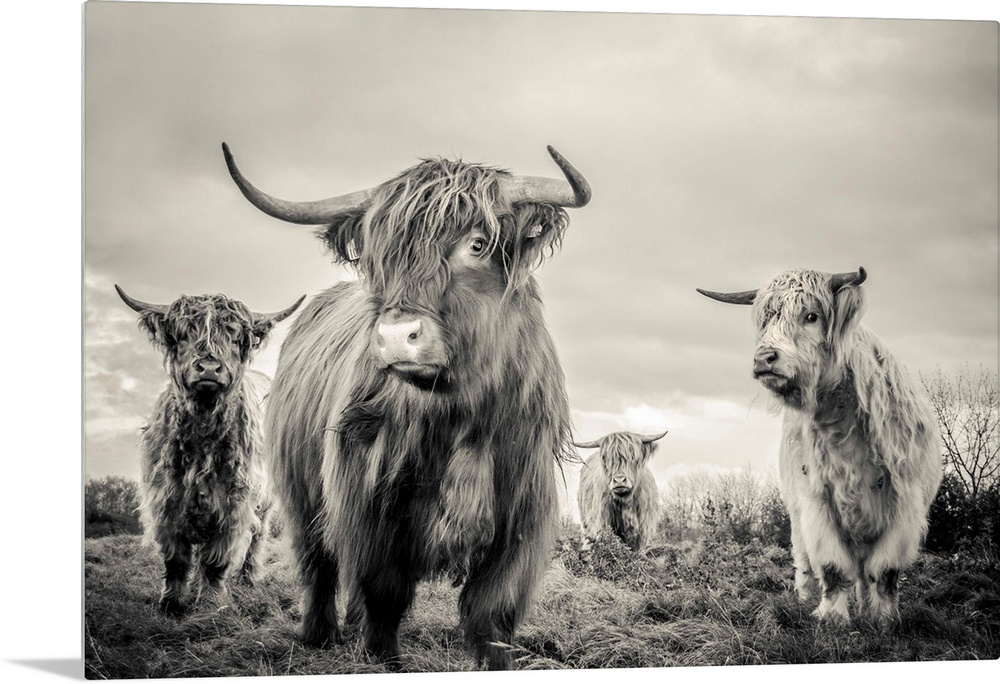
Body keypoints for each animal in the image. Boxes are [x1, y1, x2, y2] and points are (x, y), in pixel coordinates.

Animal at [116, 285, 304, 614]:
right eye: (182, 334)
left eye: (235, 337)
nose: (209, 368)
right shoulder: (167, 500)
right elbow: (176, 558)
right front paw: (172, 603)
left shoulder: (233, 503)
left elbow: (216, 559)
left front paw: (210, 604)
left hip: (265, 502)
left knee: (257, 537)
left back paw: (247, 578)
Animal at [221, 143, 591, 668]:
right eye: (380, 256)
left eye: (478, 244)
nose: (397, 336)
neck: (462, 419)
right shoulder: (368, 499)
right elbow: (383, 590)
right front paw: (380, 658)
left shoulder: (521, 509)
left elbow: (492, 608)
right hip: (298, 490)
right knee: (317, 564)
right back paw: (318, 634)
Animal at [697, 267, 943, 625]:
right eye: (767, 318)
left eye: (811, 316)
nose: (763, 358)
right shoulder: (816, 499)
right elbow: (831, 565)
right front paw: (832, 618)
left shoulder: (904, 504)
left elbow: (884, 571)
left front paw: (883, 619)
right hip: (797, 517)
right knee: (805, 562)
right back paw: (804, 599)